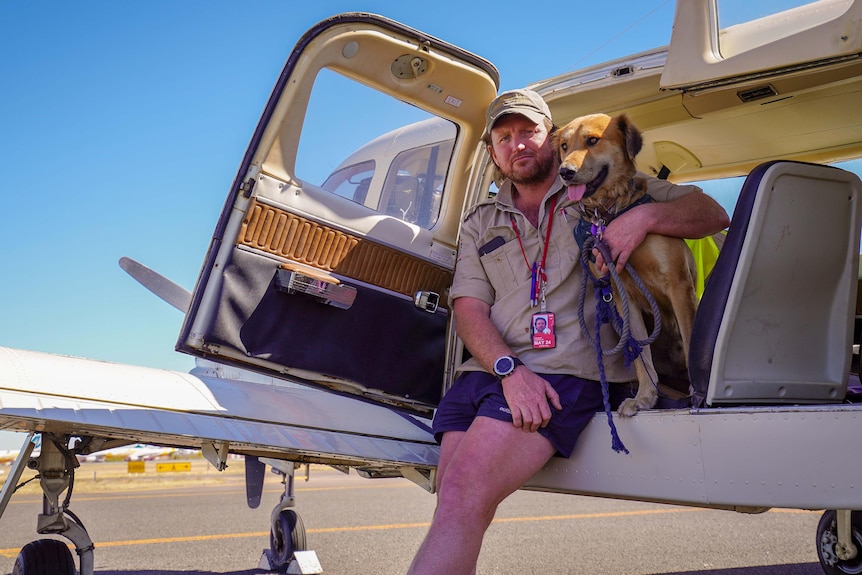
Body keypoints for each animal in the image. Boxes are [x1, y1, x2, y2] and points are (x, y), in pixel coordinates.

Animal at [552, 113, 704, 418]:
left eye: (592, 140)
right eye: (564, 146)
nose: (564, 172)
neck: (610, 212)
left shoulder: (678, 284)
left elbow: (690, 337)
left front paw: (697, 393)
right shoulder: (622, 296)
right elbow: (639, 355)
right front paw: (644, 397)